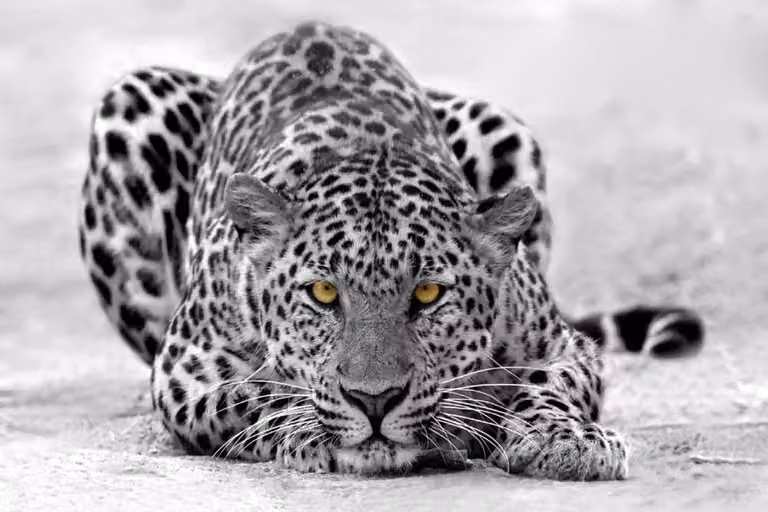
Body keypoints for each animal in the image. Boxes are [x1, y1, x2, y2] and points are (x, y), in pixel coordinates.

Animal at [78, 21, 704, 480]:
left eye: (427, 295)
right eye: (323, 293)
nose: (374, 401)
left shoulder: (564, 346)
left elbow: (550, 386)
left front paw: (565, 438)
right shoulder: (185, 371)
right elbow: (256, 392)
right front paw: (310, 427)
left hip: (501, 125)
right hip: (130, 105)